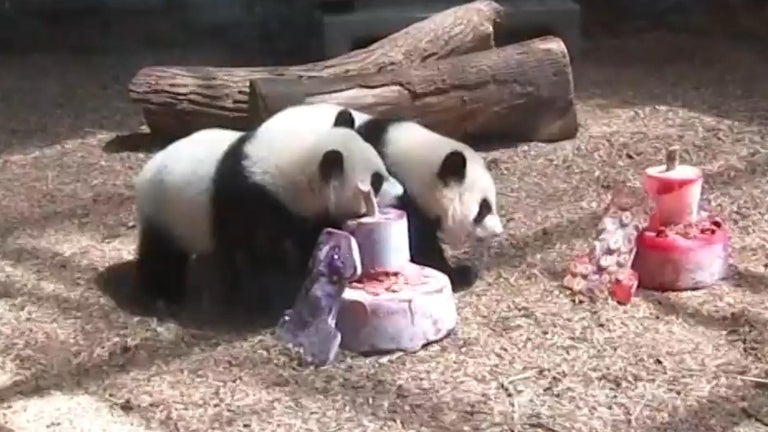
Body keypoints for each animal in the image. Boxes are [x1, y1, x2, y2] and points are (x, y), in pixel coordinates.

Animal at [133, 108, 404, 311]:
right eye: (376, 181)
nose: (401, 194)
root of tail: (146, 171)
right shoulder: (251, 202)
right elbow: (257, 253)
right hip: (163, 208)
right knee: (161, 252)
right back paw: (163, 294)